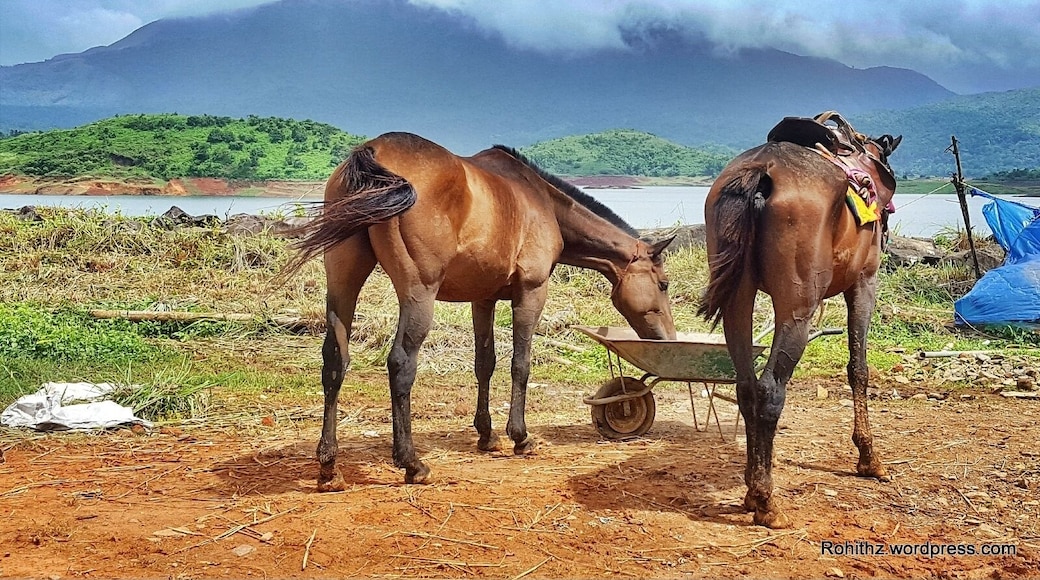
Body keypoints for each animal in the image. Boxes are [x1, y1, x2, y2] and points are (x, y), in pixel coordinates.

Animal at [283, 132, 677, 489]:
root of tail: (373, 150)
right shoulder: (531, 292)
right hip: (418, 293)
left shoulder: (483, 299)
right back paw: (412, 463)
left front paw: (487, 435)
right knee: (400, 364)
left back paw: (328, 466)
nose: (668, 338)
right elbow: (520, 364)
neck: (540, 201)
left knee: (335, 361)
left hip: (343, 281)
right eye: (663, 283)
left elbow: (484, 364)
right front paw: (520, 436)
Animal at [697, 112, 901, 528]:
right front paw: (869, 459)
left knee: (746, 387)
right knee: (769, 390)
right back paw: (766, 502)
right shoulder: (864, 283)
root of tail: (761, 171)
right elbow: (859, 369)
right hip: (797, 308)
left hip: (737, 301)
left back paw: (752, 488)